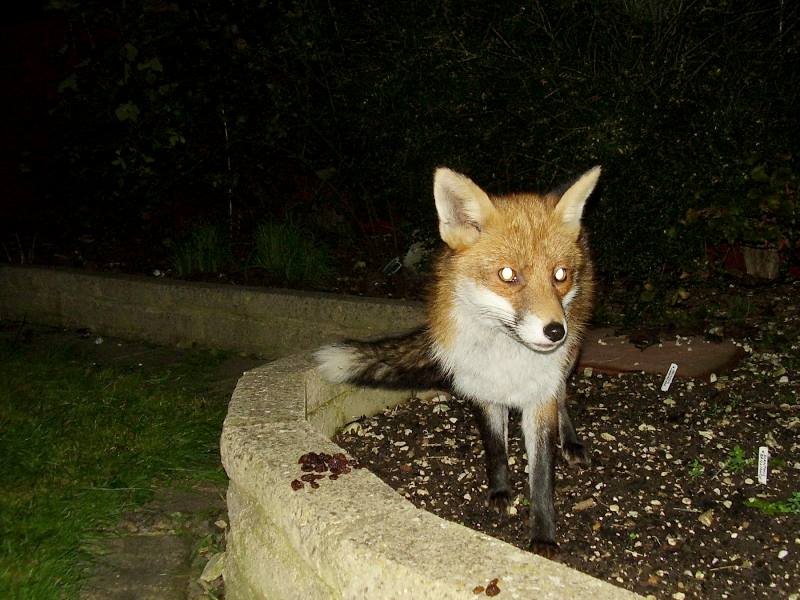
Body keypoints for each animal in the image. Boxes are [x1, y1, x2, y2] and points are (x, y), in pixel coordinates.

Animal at [314, 165, 601, 555]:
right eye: (507, 275)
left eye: (560, 275)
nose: (557, 331)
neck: (505, 356)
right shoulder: (481, 387)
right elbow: (495, 448)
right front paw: (500, 492)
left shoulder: (539, 396)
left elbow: (542, 473)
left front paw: (543, 537)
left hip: (568, 359)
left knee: (562, 398)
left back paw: (571, 442)